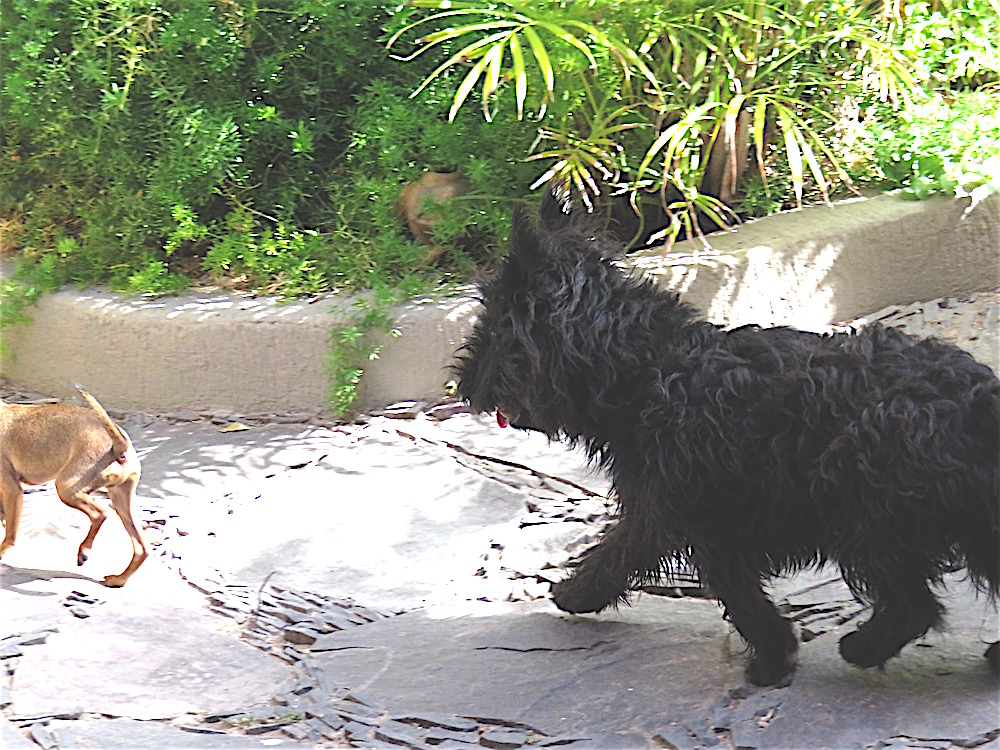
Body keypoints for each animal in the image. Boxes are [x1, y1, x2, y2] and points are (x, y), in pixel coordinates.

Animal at [0, 386, 148, 586]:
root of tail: (120, 446)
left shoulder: (12, 489)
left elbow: (10, 534)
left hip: (66, 488)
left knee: (99, 514)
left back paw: (84, 551)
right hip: (122, 501)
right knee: (142, 548)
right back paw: (119, 579)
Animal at [457, 194, 1000, 686]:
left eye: (495, 333)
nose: (463, 387)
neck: (653, 370)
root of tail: (978, 408)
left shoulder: (696, 518)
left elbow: (717, 587)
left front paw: (772, 660)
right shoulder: (677, 514)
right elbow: (631, 555)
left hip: (867, 515)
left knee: (913, 604)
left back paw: (862, 648)